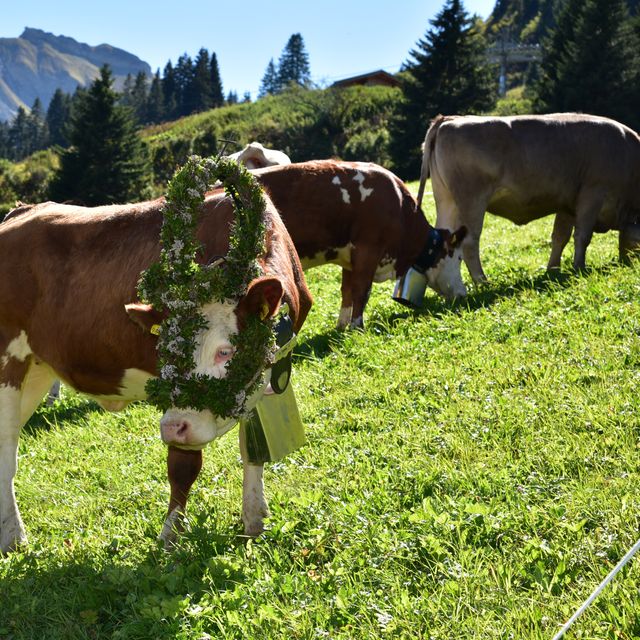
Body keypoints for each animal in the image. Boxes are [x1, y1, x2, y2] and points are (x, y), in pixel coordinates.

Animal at [248, 160, 468, 330]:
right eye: (459, 258)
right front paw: (357, 326)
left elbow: (347, 291)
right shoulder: (368, 249)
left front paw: (342, 326)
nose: (462, 294)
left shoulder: (349, 257)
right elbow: (362, 291)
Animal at [418, 115, 640, 296]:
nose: (628, 263)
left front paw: (553, 270)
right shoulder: (593, 193)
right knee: (470, 242)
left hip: (447, 202)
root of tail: (449, 119)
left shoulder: (567, 204)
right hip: (471, 201)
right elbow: (582, 236)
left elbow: (560, 237)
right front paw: (579, 268)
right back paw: (483, 283)